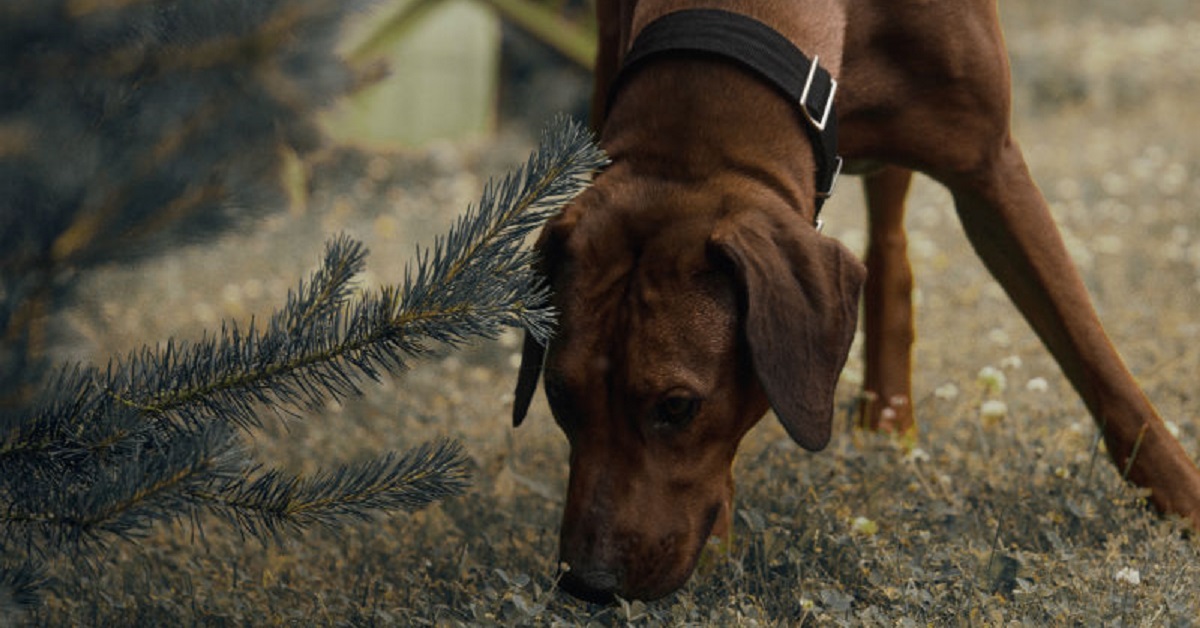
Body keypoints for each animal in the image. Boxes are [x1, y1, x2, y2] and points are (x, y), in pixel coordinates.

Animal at [511, 0, 1200, 605]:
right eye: (559, 395)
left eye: (677, 406)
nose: (587, 584)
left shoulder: (990, 165)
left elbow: (1095, 359)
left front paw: (1184, 500)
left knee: (890, 241)